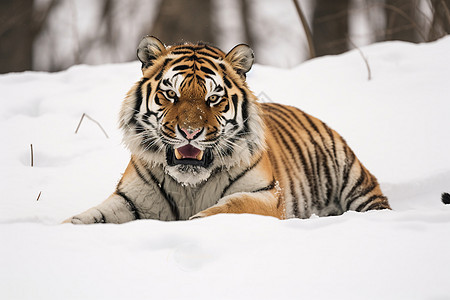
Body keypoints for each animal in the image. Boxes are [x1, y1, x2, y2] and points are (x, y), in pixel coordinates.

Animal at [64, 36, 390, 224]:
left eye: (213, 98)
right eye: (171, 94)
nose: (190, 132)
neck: (191, 185)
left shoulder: (266, 195)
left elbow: (228, 208)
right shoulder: (130, 200)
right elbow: (87, 218)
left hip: (353, 178)